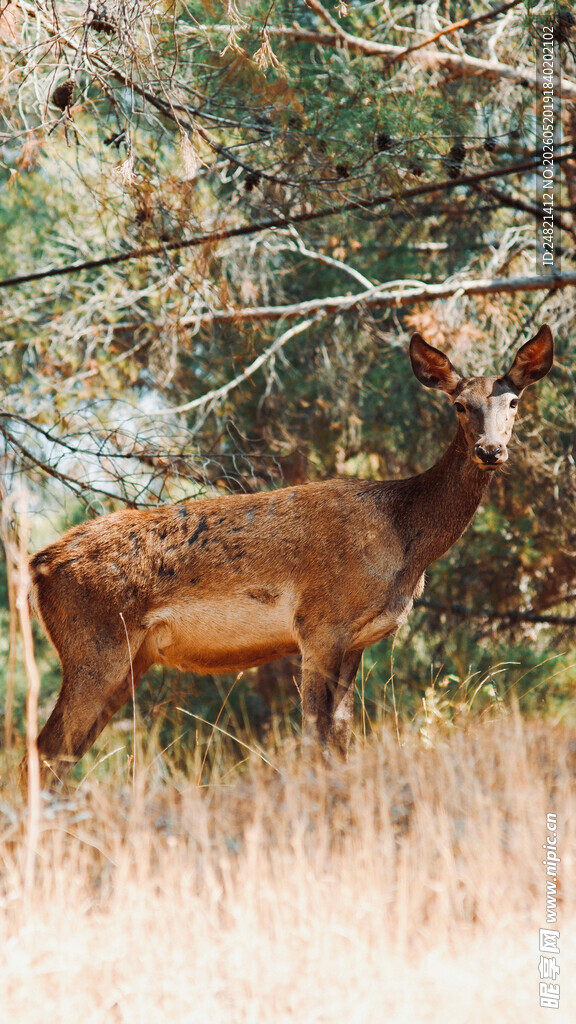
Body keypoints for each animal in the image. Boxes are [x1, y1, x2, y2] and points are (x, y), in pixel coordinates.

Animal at [24, 324, 553, 786]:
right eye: (459, 404)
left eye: (514, 400)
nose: (490, 450)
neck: (404, 541)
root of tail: (38, 565)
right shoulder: (320, 623)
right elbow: (314, 737)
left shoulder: (356, 641)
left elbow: (341, 738)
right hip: (96, 646)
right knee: (45, 750)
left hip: (128, 661)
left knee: (61, 754)